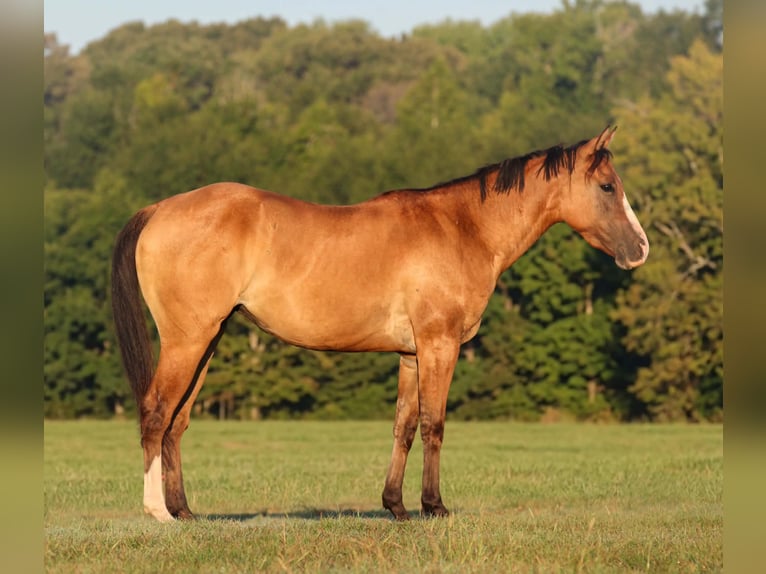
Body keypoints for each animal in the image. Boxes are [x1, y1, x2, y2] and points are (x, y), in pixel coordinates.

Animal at [111, 125, 648, 522]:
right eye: (607, 187)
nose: (640, 249)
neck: (462, 228)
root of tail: (159, 209)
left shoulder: (411, 354)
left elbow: (403, 427)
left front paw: (396, 507)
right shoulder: (439, 345)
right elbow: (434, 424)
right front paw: (434, 507)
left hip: (208, 341)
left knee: (177, 421)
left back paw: (184, 511)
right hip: (187, 341)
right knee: (156, 412)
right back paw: (158, 512)